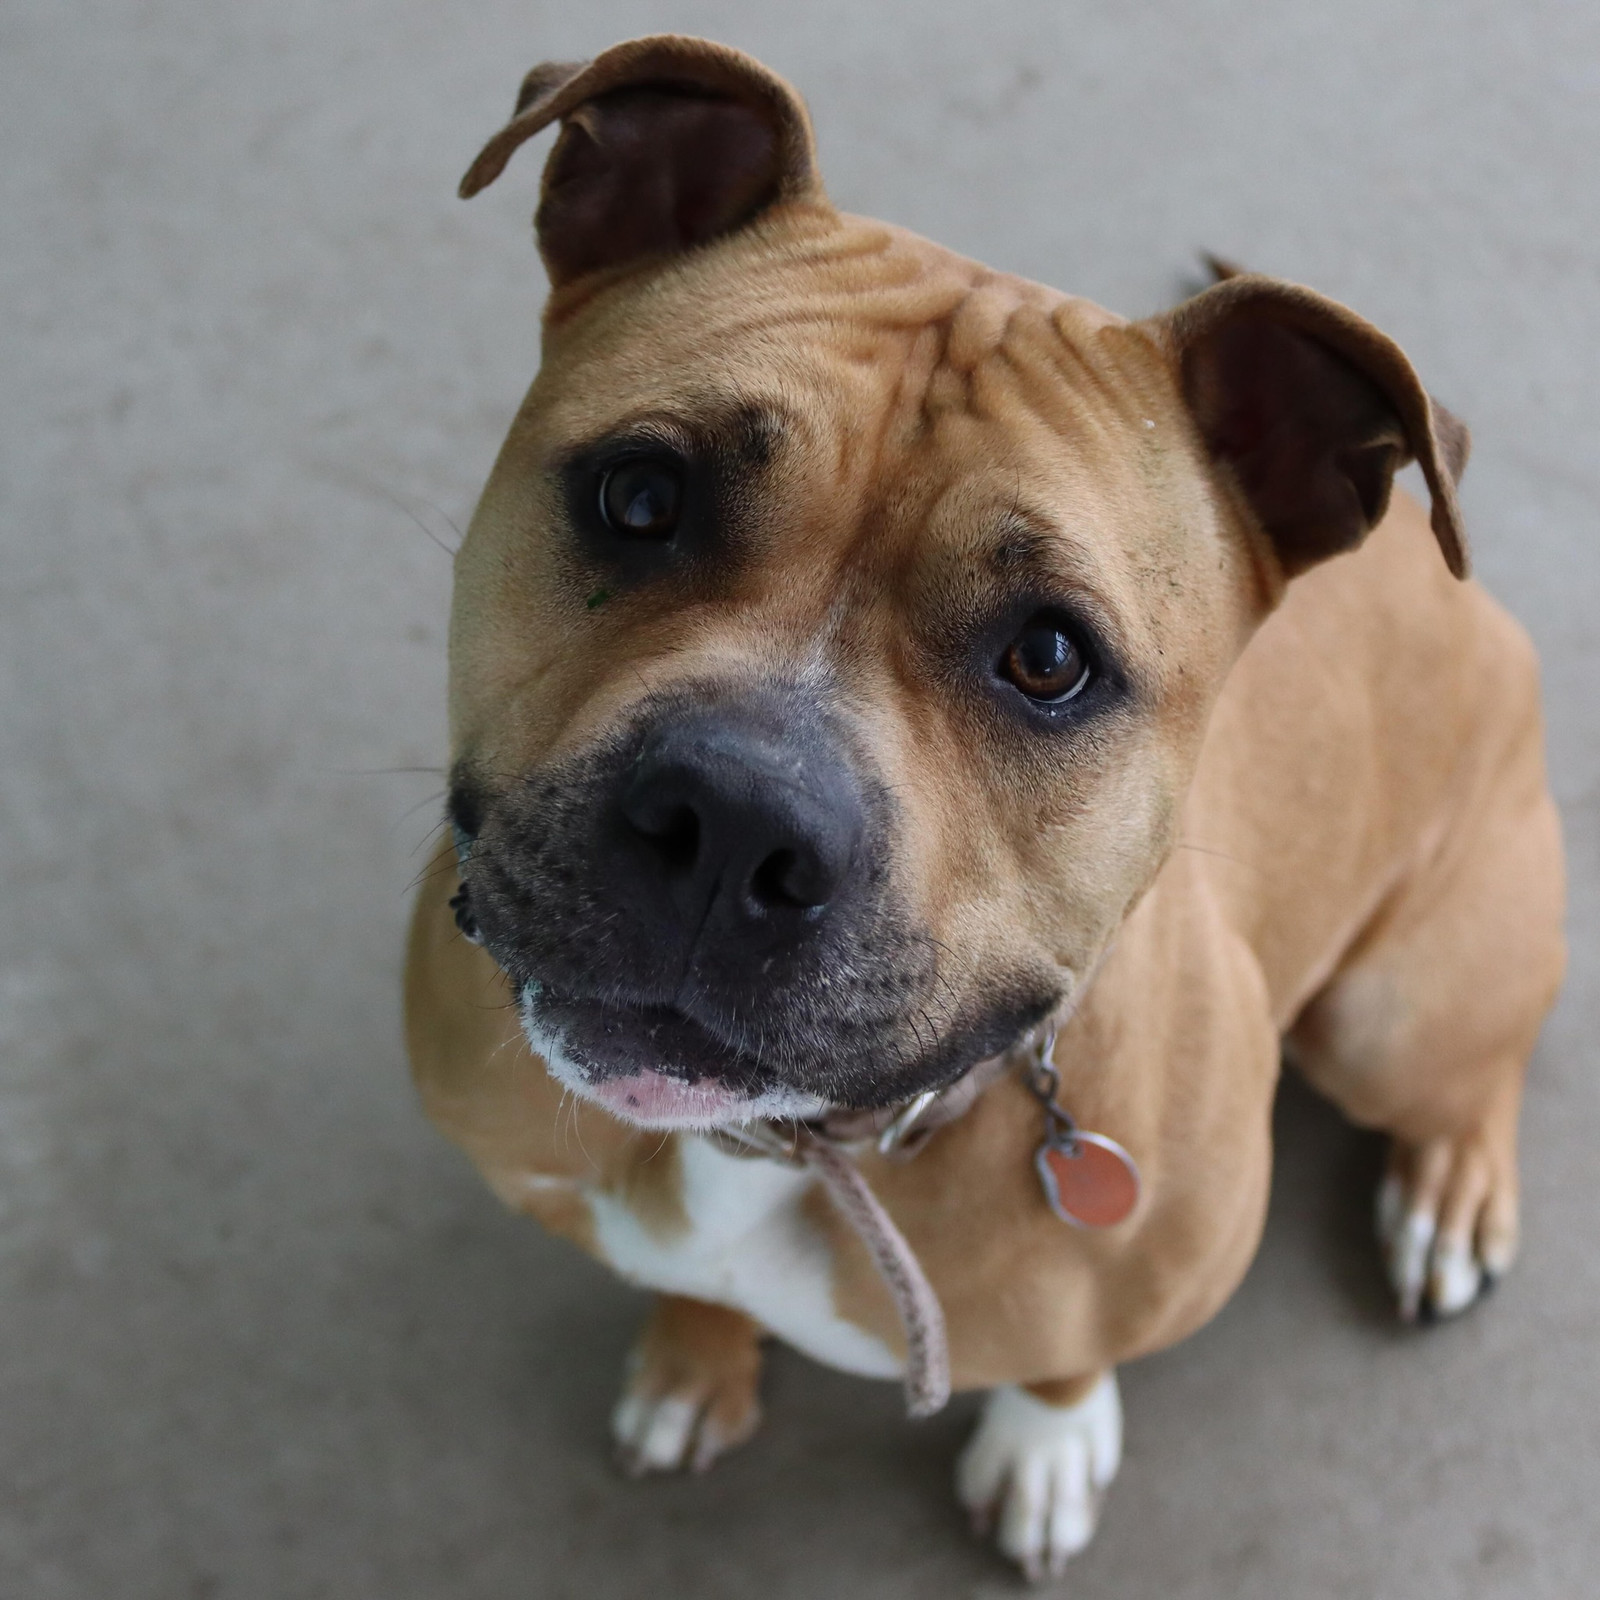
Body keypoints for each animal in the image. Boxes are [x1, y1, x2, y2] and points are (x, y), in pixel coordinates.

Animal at [400, 31, 1561, 1580]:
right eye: (639, 495)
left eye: (1051, 658)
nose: (737, 819)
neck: (794, 1146)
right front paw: (696, 1354)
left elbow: (1069, 1354)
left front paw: (1047, 1439)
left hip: (1393, 1013)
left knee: (1470, 1067)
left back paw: (1450, 1191)